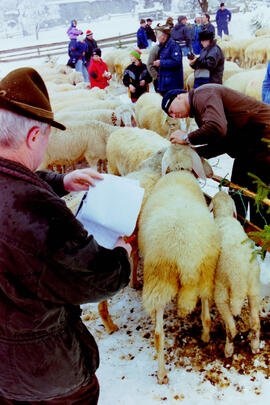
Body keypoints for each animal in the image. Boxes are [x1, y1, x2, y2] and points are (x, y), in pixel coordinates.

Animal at [212, 189, 260, 356]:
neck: (224, 216)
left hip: (221, 293)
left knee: (231, 329)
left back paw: (228, 350)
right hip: (254, 289)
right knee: (256, 323)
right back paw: (255, 347)